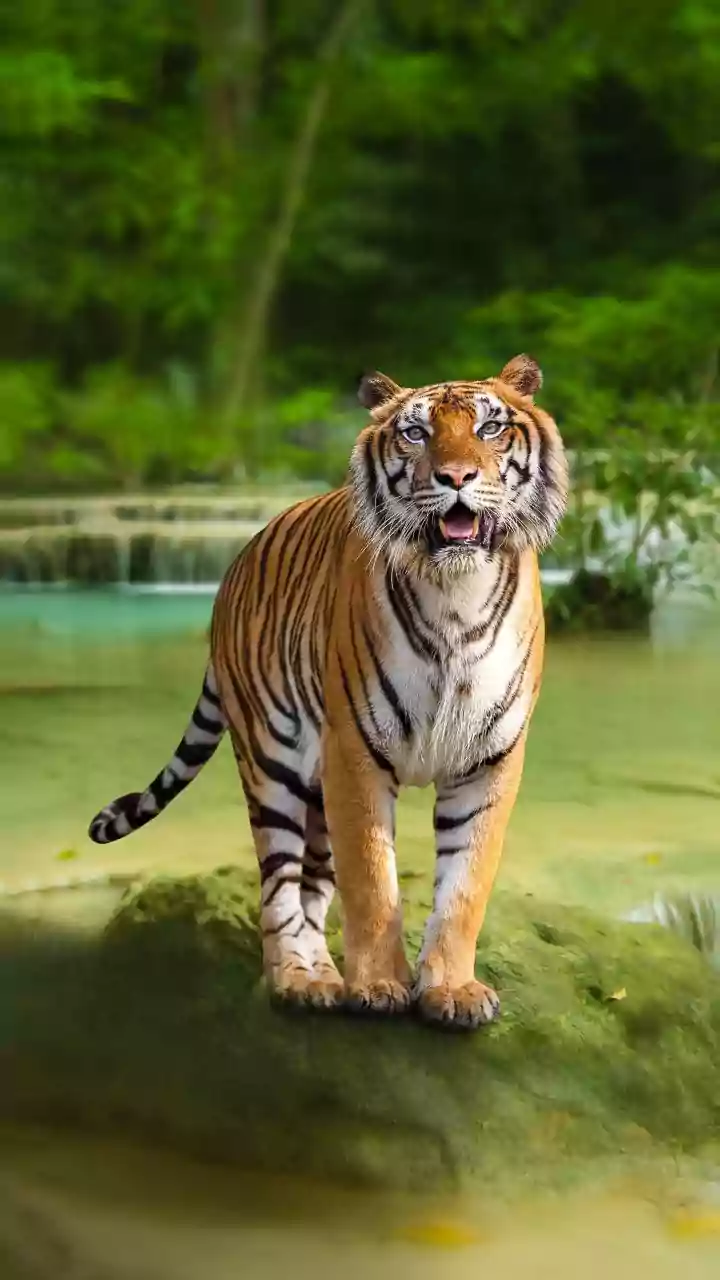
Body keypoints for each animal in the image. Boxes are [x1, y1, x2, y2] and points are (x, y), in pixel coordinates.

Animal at [89, 354, 568, 1029]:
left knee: (313, 883)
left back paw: (319, 972)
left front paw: (451, 991)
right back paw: (300, 980)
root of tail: (236, 564)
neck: (456, 594)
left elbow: (465, 885)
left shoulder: (489, 760)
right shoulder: (356, 751)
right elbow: (370, 880)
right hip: (274, 762)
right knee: (279, 883)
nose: (456, 477)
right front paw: (379, 987)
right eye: (415, 433)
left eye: (490, 428)